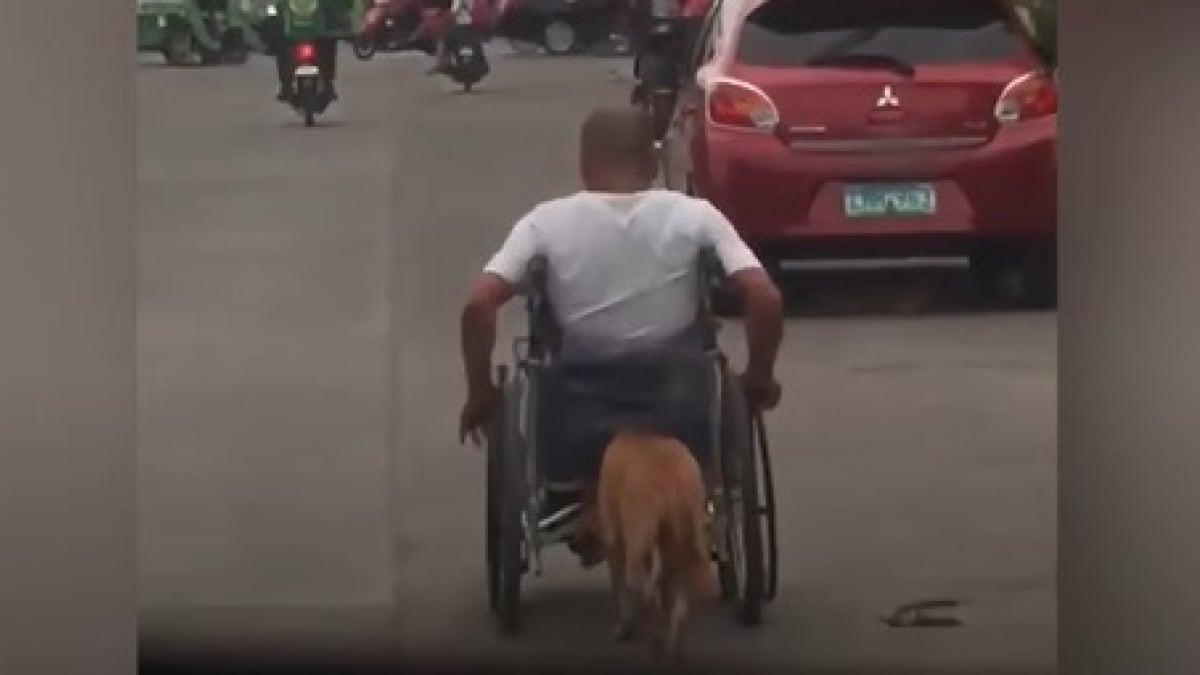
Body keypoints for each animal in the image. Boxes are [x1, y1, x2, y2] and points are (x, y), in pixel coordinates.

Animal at [590, 427, 710, 658]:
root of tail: (672, 475)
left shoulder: (614, 541)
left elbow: (620, 587)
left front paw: (624, 627)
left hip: (640, 531)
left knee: (640, 581)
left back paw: (655, 633)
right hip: (683, 537)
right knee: (674, 589)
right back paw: (674, 642)